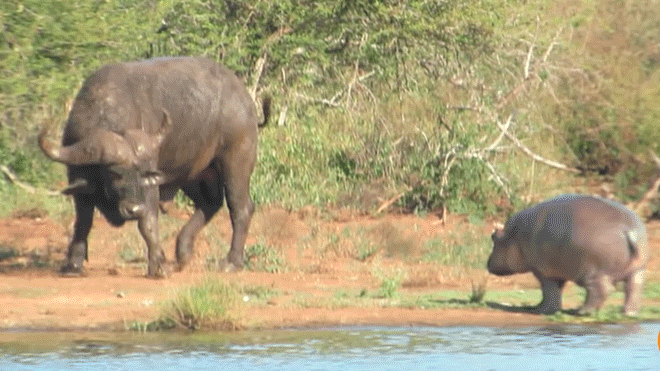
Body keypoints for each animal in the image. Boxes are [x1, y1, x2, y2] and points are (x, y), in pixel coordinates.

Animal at [38, 56, 270, 278]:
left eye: (142, 174)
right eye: (113, 174)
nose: (134, 209)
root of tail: (245, 101)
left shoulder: (149, 188)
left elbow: (147, 223)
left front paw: (158, 265)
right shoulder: (78, 181)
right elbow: (83, 221)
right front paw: (73, 265)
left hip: (236, 161)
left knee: (241, 208)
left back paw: (231, 262)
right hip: (196, 173)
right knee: (210, 203)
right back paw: (182, 252)